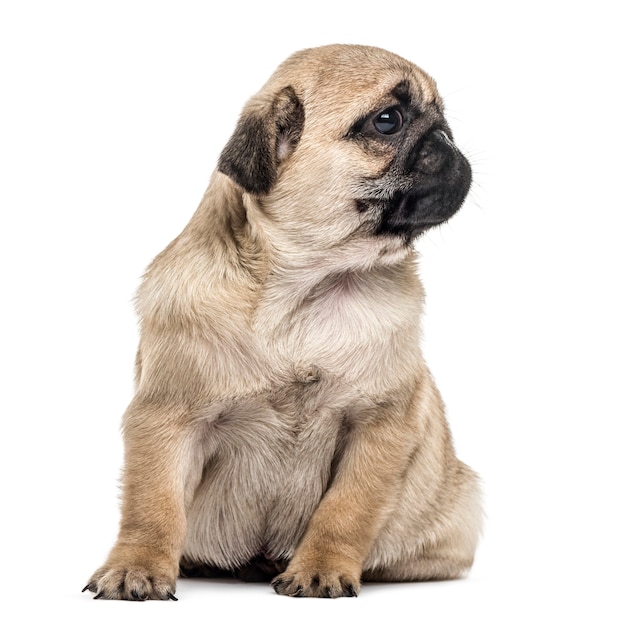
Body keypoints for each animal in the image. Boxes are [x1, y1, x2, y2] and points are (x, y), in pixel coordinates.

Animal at [83, 42, 480, 600]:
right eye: (388, 121)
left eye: (442, 118)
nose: (446, 139)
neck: (307, 289)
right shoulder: (166, 417)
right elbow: (152, 504)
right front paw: (136, 566)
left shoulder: (379, 424)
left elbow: (346, 509)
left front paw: (321, 569)